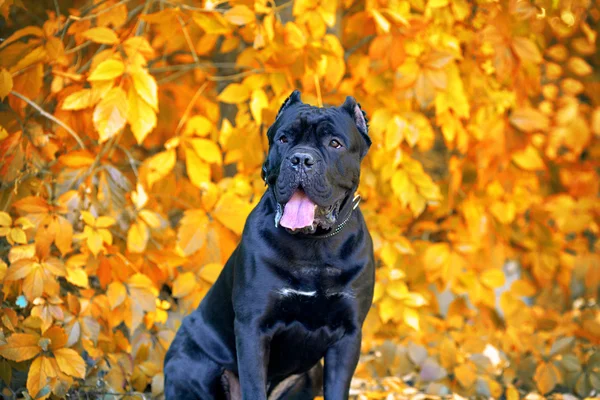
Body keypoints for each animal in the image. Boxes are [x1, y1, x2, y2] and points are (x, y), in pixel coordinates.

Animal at [164, 91, 376, 400]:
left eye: (334, 143)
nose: (301, 159)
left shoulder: (348, 334)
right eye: (284, 139)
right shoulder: (253, 326)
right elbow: (253, 387)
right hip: (190, 365)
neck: (313, 246)